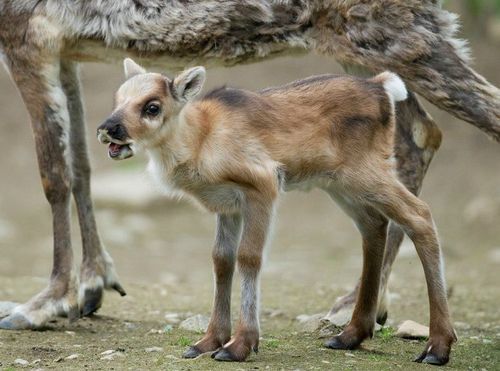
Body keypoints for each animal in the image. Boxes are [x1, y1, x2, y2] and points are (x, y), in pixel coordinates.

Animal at [97, 59, 458, 364]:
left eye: (152, 106)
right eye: (117, 98)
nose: (107, 128)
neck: (200, 141)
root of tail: (382, 86)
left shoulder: (263, 186)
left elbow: (249, 257)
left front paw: (240, 345)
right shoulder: (228, 205)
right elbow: (221, 260)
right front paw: (208, 341)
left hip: (367, 173)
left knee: (419, 215)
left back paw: (437, 347)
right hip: (340, 184)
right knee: (374, 224)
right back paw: (350, 335)